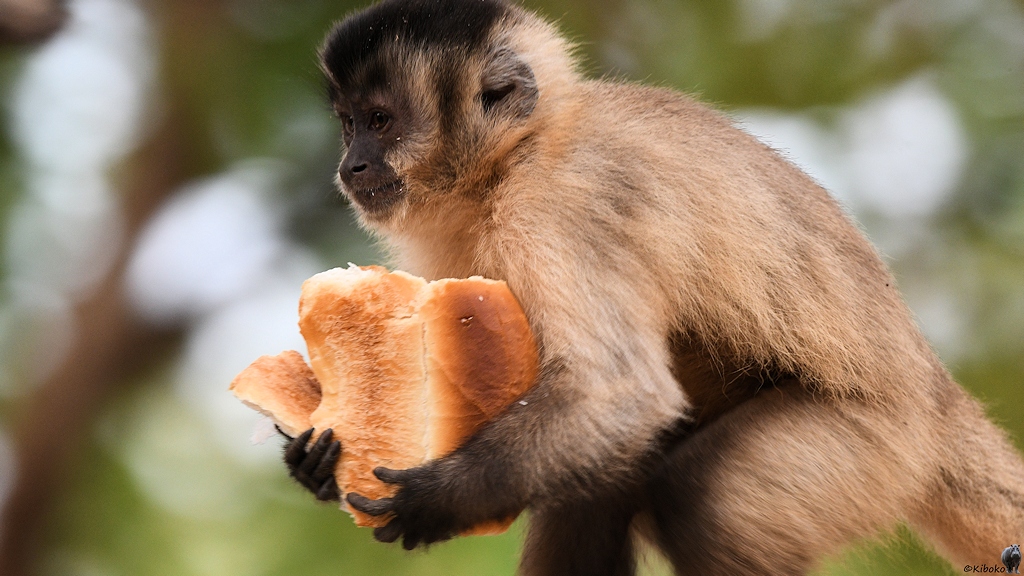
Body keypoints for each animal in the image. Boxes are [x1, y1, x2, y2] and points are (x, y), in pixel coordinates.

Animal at [280, 0, 1024, 574]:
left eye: (380, 121)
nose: (352, 165)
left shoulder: (554, 205)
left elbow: (619, 394)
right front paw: (314, 454)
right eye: (348, 124)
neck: (516, 157)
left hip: (882, 442)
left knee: (699, 501)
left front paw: (437, 500)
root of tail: (935, 394)